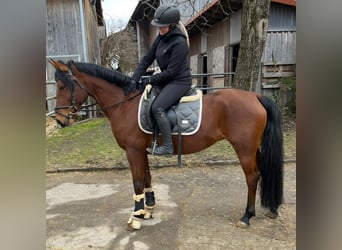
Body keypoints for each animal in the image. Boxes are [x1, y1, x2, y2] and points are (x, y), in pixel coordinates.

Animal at [48, 59, 284, 229]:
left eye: (61, 85)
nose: (59, 120)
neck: (125, 105)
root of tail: (256, 96)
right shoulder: (141, 150)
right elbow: (146, 177)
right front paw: (148, 209)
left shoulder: (133, 150)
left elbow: (136, 181)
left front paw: (135, 217)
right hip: (253, 149)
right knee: (261, 173)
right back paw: (269, 209)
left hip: (244, 149)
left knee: (252, 177)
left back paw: (246, 216)